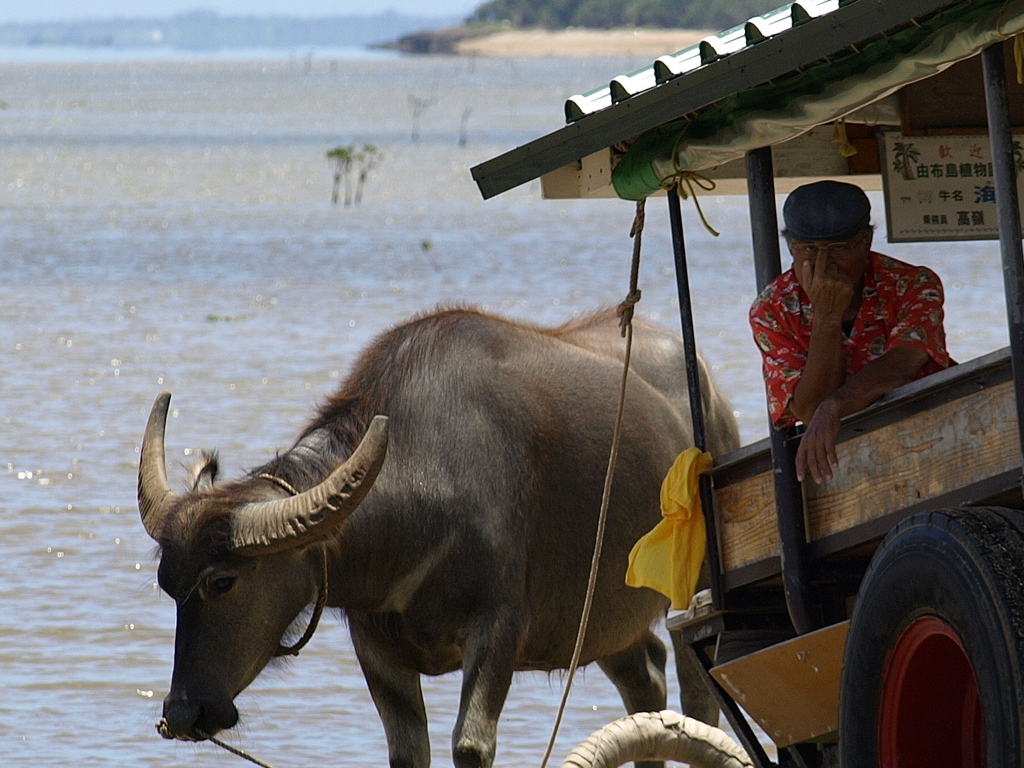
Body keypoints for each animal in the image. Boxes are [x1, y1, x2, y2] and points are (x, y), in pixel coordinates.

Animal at [140, 307, 741, 768]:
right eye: (168, 585)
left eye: (223, 581)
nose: (184, 713)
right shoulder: (376, 647)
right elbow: (408, 752)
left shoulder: (500, 629)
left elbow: (471, 745)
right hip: (599, 622)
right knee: (647, 686)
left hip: (697, 589)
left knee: (696, 698)